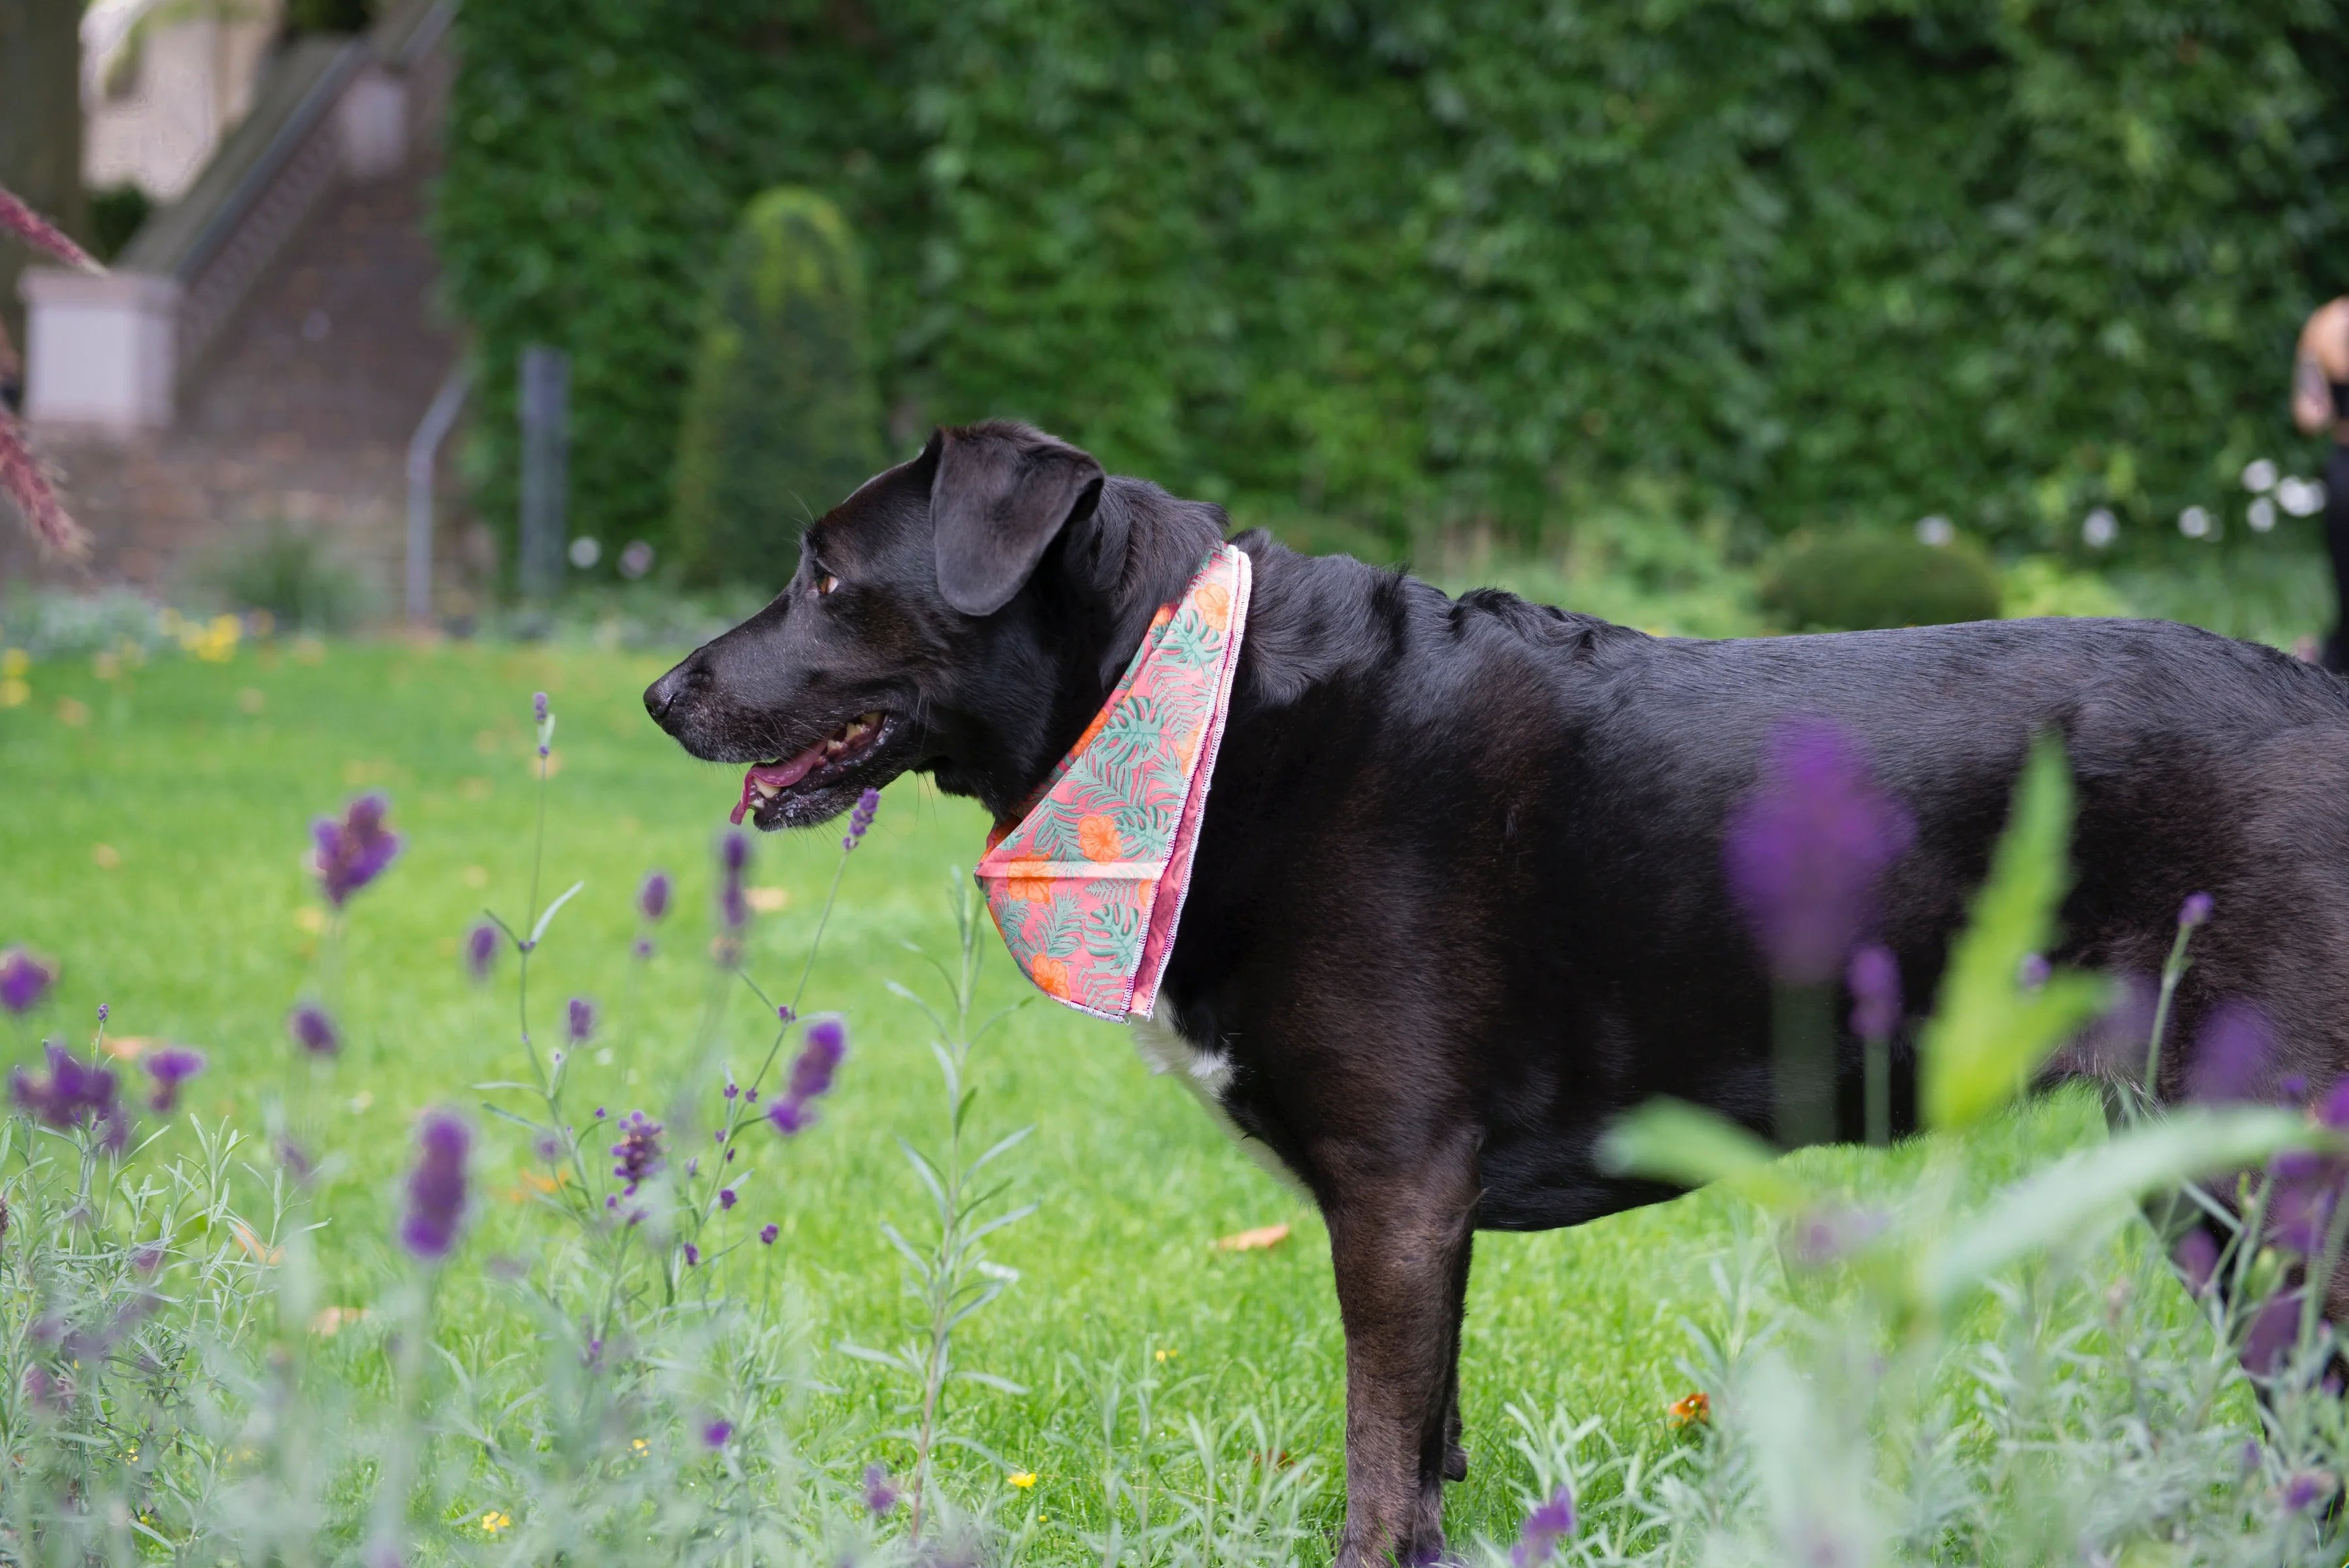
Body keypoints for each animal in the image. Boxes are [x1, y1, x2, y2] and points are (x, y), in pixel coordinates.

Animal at [648, 420, 2349, 1568]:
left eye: (826, 574)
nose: (663, 693)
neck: (1189, 703)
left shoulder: (1396, 1188)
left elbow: (1374, 1466)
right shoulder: (1429, 1210)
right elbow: (1426, 1461)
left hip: (2266, 1162)